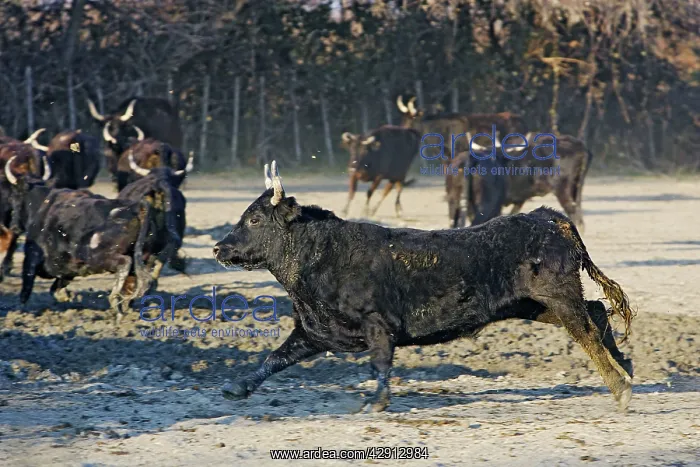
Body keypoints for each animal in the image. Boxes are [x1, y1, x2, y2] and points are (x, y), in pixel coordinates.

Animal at [4, 156, 153, 313]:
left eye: (14, 197)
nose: (13, 226)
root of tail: (133, 206)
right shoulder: (66, 268)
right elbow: (56, 287)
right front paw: (65, 296)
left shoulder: (31, 258)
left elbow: (26, 289)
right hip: (139, 256)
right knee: (140, 279)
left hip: (98, 257)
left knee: (124, 263)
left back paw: (114, 299)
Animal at [212, 161, 635, 413]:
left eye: (253, 219)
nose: (218, 248)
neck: (326, 255)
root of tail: (546, 218)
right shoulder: (315, 332)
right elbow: (274, 358)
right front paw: (236, 387)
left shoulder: (378, 325)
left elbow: (381, 363)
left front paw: (376, 403)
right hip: (532, 305)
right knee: (597, 313)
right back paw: (626, 366)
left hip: (558, 296)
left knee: (586, 332)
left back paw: (620, 386)